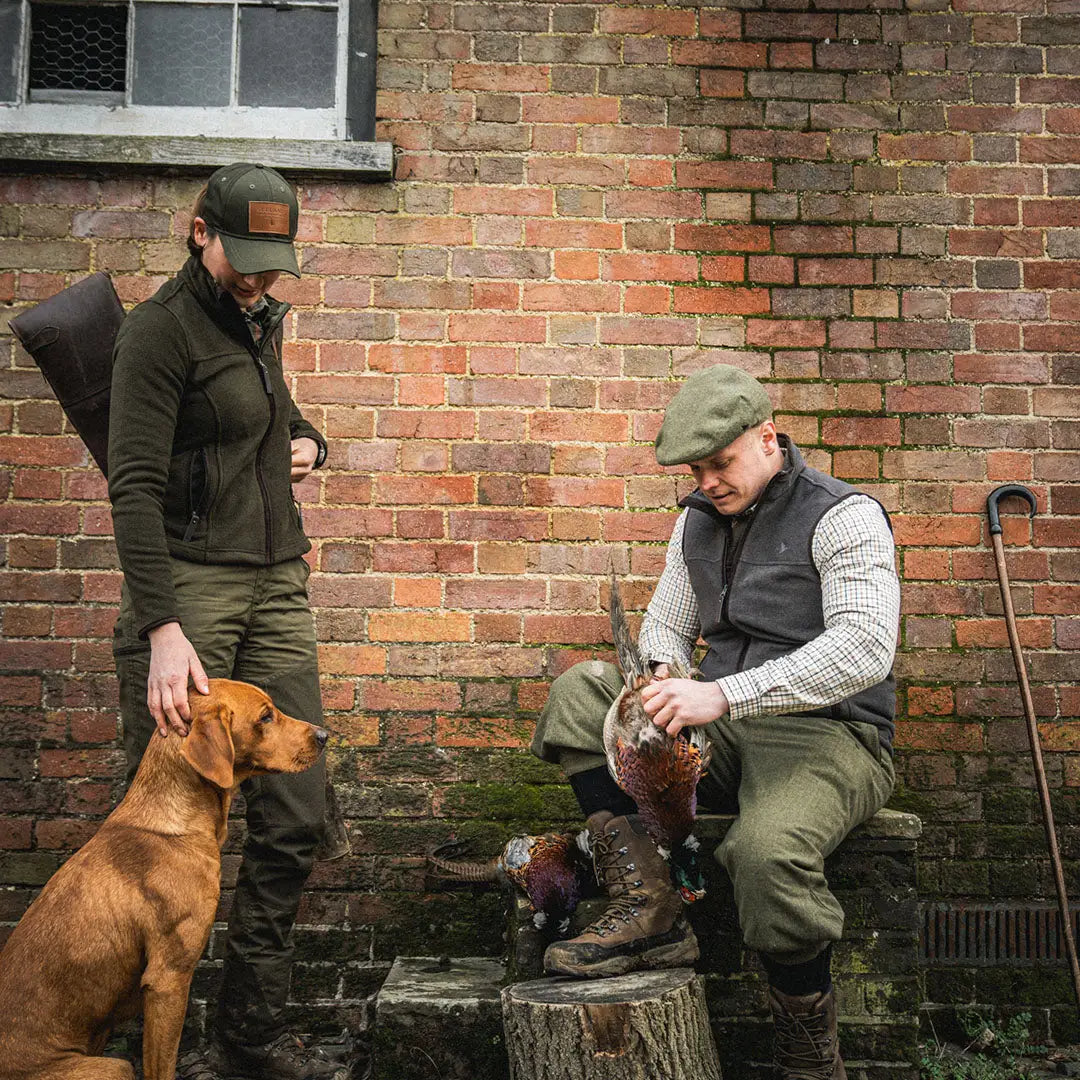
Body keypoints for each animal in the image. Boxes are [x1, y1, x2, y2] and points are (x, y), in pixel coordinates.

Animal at [0, 682, 324, 1080]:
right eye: (265, 716)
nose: (324, 735)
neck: (176, 822)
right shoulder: (168, 979)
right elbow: (163, 1064)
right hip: (113, 1067)